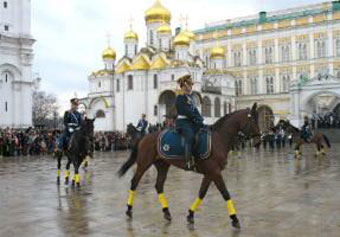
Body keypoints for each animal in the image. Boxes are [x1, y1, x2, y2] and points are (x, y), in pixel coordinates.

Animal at [118, 103, 262, 230]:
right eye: (253, 120)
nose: (258, 141)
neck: (219, 139)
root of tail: (144, 137)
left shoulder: (210, 173)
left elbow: (202, 193)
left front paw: (191, 214)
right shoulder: (215, 172)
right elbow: (225, 193)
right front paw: (234, 218)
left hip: (163, 165)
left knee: (159, 186)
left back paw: (166, 212)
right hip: (144, 163)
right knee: (134, 182)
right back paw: (129, 209)